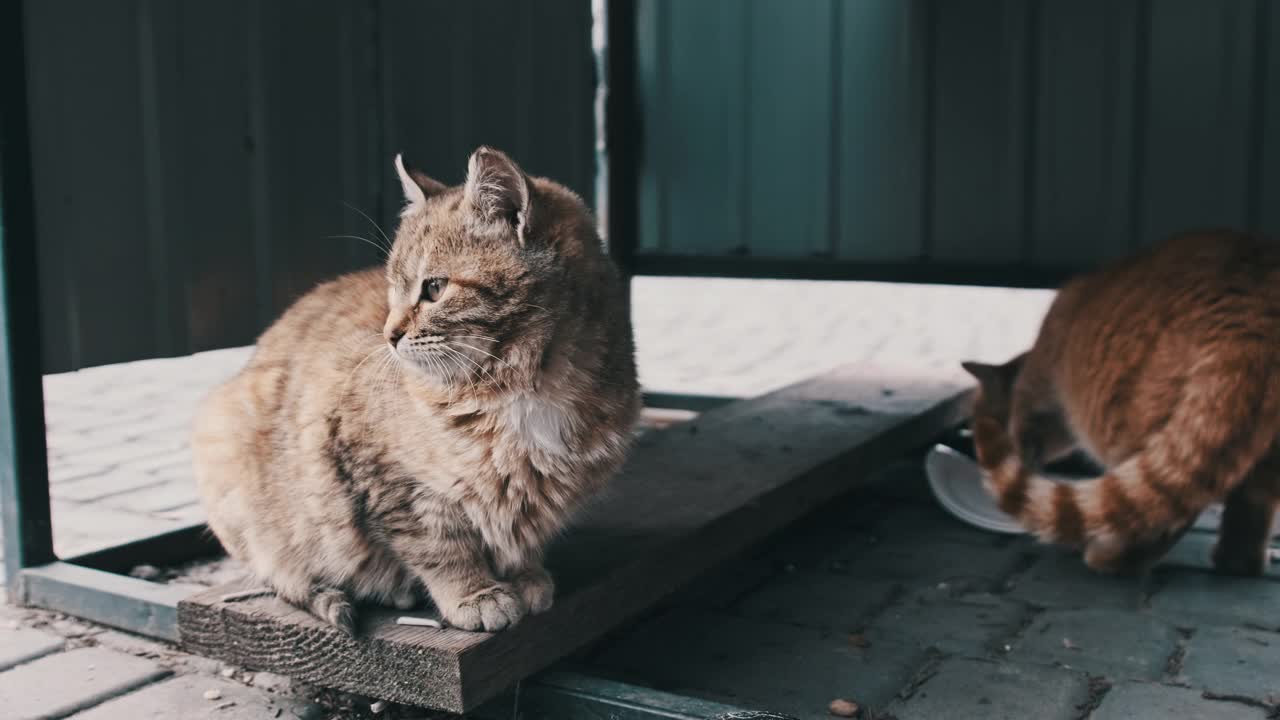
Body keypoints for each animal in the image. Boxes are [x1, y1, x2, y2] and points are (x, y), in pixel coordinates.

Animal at [190, 146, 645, 627]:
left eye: (435, 287)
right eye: (392, 288)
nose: (389, 334)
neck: (522, 387)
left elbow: (521, 537)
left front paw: (525, 575)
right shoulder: (385, 476)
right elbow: (438, 546)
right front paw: (474, 593)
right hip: (226, 444)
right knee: (277, 569)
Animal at [962, 226, 1274, 573]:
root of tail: (1254, 315)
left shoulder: (1037, 393)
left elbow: (1025, 427)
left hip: (1131, 426)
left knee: (1157, 511)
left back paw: (1107, 557)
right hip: (1259, 458)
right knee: (1245, 513)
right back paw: (1237, 563)